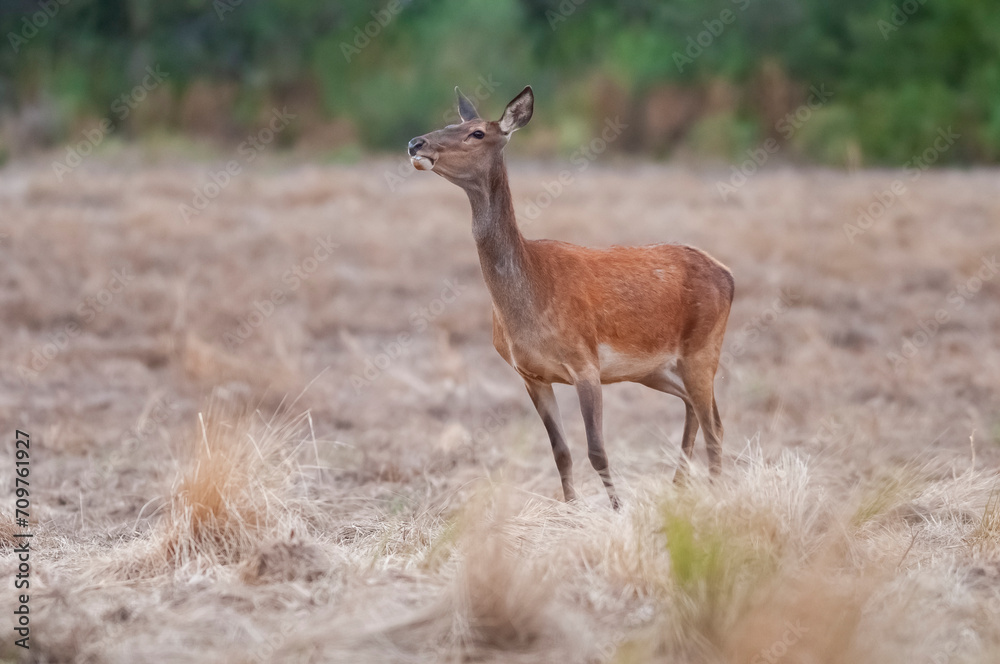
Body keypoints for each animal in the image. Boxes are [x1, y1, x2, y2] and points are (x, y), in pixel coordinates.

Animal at [407, 86, 734, 510]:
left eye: (477, 132)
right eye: (452, 123)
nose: (416, 143)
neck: (527, 302)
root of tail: (727, 274)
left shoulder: (585, 363)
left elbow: (597, 450)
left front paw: (617, 511)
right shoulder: (531, 375)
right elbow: (561, 452)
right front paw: (572, 511)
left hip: (703, 349)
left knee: (715, 424)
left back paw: (715, 497)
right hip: (655, 368)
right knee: (695, 408)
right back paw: (679, 490)